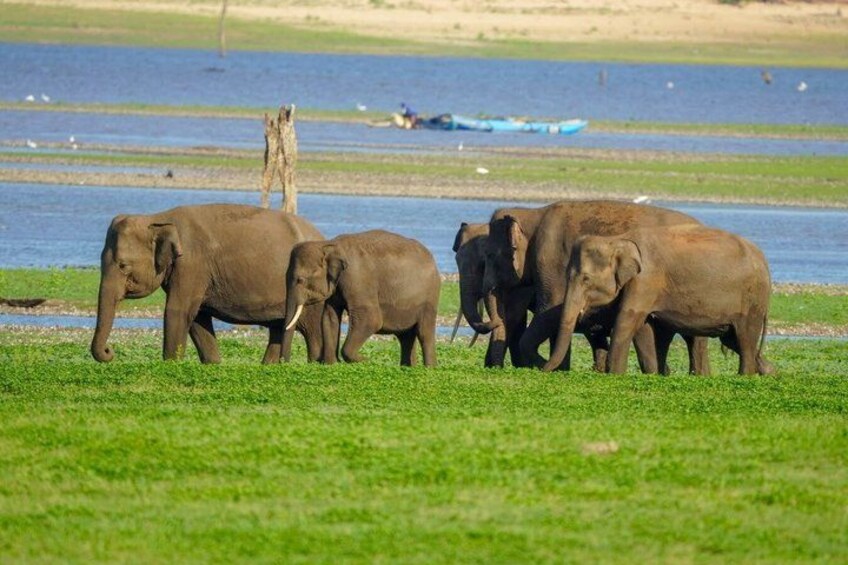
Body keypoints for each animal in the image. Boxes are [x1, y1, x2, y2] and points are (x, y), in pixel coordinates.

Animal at [91, 203, 326, 364]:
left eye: (123, 265)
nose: (109, 352)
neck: (158, 218)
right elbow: (198, 318)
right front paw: (213, 363)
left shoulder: (192, 265)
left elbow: (177, 311)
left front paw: (171, 363)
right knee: (278, 327)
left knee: (312, 333)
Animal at [284, 230, 440, 367]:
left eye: (300, 280)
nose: (282, 363)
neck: (329, 244)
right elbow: (329, 318)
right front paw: (331, 364)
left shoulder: (357, 277)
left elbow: (371, 319)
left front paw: (368, 361)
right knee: (406, 336)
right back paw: (408, 367)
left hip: (430, 298)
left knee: (424, 333)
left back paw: (429, 368)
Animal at [482, 200, 710, 374]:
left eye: (490, 256)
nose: (495, 368)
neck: (532, 214)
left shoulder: (549, 259)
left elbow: (549, 309)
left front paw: (554, 368)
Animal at [543, 225, 774, 375]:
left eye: (586, 279)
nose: (542, 370)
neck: (617, 239)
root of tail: (764, 260)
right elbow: (644, 329)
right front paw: (652, 374)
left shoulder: (645, 280)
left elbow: (627, 321)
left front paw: (614, 374)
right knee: (735, 341)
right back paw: (771, 372)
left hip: (752, 300)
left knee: (745, 340)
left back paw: (746, 376)